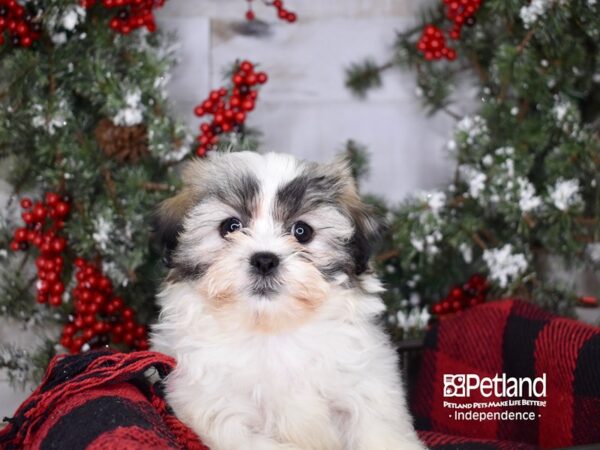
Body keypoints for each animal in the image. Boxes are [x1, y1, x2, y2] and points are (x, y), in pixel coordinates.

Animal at [151, 152, 426, 450]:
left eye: (302, 231)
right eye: (230, 227)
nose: (264, 260)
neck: (272, 331)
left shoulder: (365, 390)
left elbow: (378, 431)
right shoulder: (221, 412)